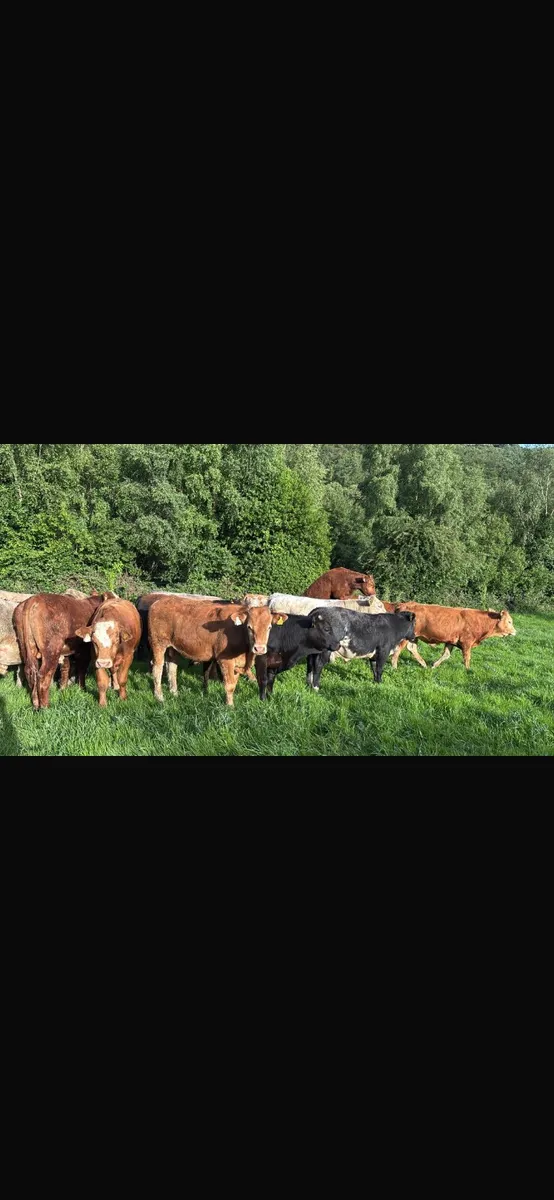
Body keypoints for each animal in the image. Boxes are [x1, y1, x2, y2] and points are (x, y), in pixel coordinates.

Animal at [148, 597, 289, 706]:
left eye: (269, 627)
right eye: (249, 627)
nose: (259, 648)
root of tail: (159, 601)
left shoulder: (236, 664)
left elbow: (234, 684)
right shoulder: (225, 660)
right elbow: (229, 685)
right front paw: (230, 706)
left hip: (173, 648)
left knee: (171, 668)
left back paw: (174, 693)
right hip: (158, 643)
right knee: (157, 668)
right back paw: (159, 697)